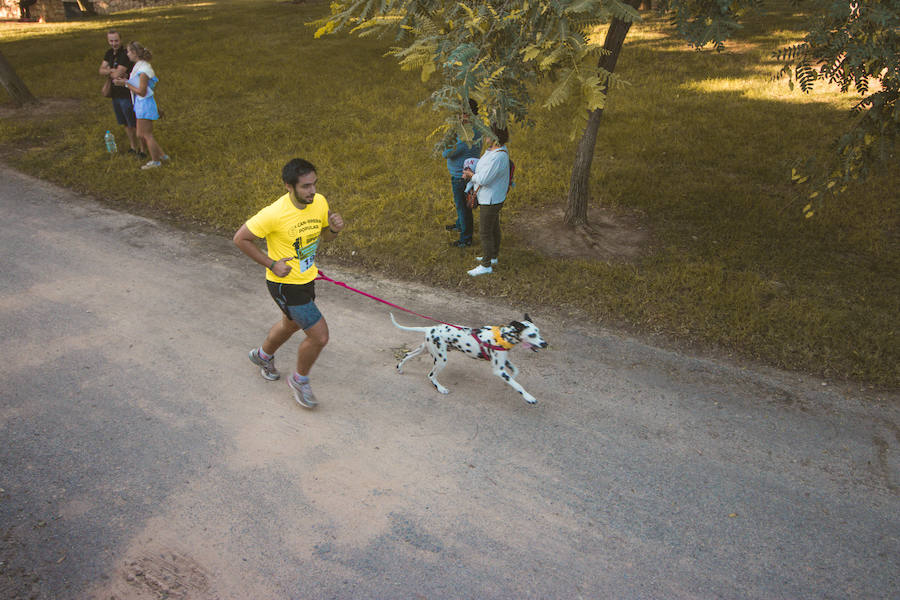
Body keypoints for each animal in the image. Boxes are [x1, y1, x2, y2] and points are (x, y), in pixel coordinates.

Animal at [388, 314, 548, 404]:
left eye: (538, 332)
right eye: (532, 335)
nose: (545, 344)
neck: (503, 336)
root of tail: (429, 328)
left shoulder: (502, 363)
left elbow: (515, 371)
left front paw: (511, 378)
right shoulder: (498, 370)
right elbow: (518, 386)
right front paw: (529, 397)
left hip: (425, 350)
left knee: (407, 355)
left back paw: (400, 368)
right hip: (441, 360)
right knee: (431, 375)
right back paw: (440, 388)